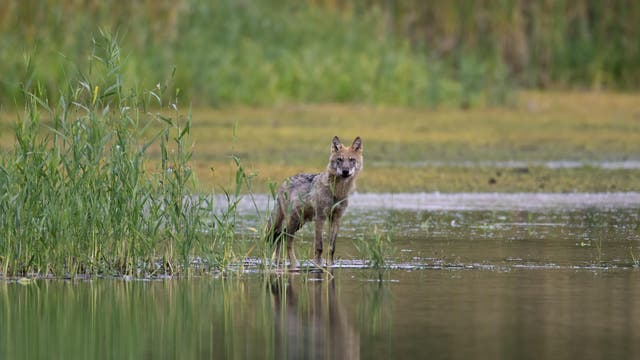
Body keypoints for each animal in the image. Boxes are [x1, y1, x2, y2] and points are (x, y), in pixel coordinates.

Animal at [266, 136, 364, 268]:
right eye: (340, 159)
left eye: (352, 160)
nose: (345, 171)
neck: (336, 192)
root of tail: (284, 182)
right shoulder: (320, 218)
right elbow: (319, 246)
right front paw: (318, 265)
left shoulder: (336, 218)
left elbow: (332, 247)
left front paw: (330, 265)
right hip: (293, 222)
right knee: (286, 240)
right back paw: (294, 263)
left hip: (299, 223)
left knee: (281, 236)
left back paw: (277, 262)